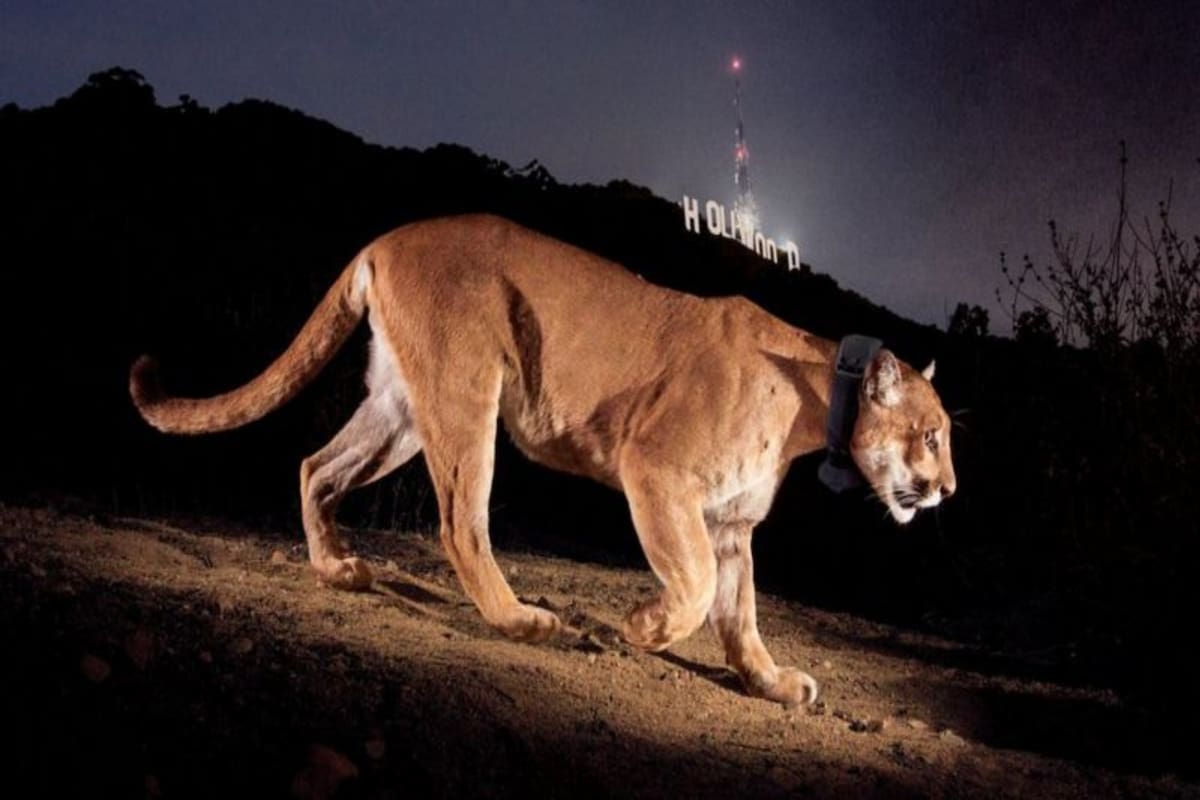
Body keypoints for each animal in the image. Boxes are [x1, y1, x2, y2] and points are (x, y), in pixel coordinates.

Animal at [130, 214, 955, 707]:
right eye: (933, 435)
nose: (948, 489)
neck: (816, 400)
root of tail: (389, 236)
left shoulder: (731, 524)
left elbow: (739, 612)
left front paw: (773, 681)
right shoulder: (657, 473)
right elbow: (693, 589)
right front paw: (644, 626)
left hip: (401, 409)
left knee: (316, 466)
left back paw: (337, 567)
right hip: (467, 392)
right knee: (460, 522)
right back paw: (522, 620)